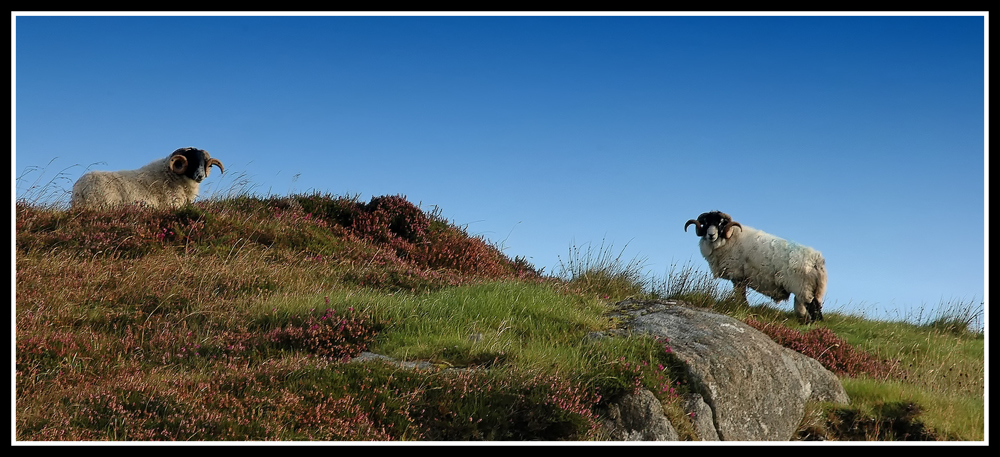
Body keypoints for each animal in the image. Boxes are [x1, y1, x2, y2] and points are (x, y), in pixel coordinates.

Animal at [688, 211, 828, 322]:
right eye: (706, 223)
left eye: (721, 223)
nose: (711, 235)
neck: (729, 239)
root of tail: (817, 259)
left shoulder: (737, 275)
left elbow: (740, 295)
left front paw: (741, 307)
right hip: (808, 289)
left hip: (803, 287)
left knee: (814, 309)